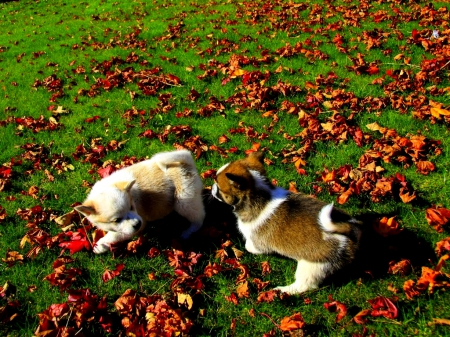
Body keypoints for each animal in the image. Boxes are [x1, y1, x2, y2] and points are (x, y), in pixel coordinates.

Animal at [75, 148, 206, 253]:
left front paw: (100, 244)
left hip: (184, 203)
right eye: (116, 220)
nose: (137, 224)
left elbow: (115, 235)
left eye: (131, 207)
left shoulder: (137, 225)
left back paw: (188, 232)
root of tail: (186, 161)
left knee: (199, 219)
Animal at [211, 151, 362, 292]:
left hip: (312, 267)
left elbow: (249, 246)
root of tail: (348, 232)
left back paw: (283, 290)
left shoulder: (258, 242)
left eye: (218, 186)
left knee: (304, 285)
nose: (211, 187)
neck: (262, 197)